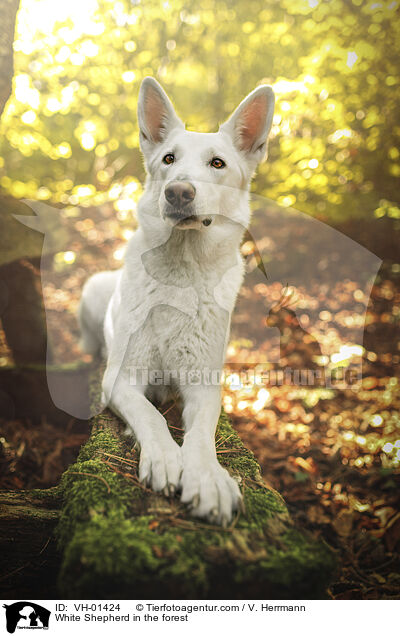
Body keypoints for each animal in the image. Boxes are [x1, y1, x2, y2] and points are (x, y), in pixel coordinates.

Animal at [78, 78, 274, 528]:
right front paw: (166, 457)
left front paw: (208, 479)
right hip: (94, 290)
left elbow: (201, 435)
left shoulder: (204, 385)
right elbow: (151, 416)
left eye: (217, 164)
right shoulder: (122, 378)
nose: (178, 192)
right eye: (168, 159)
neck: (180, 274)